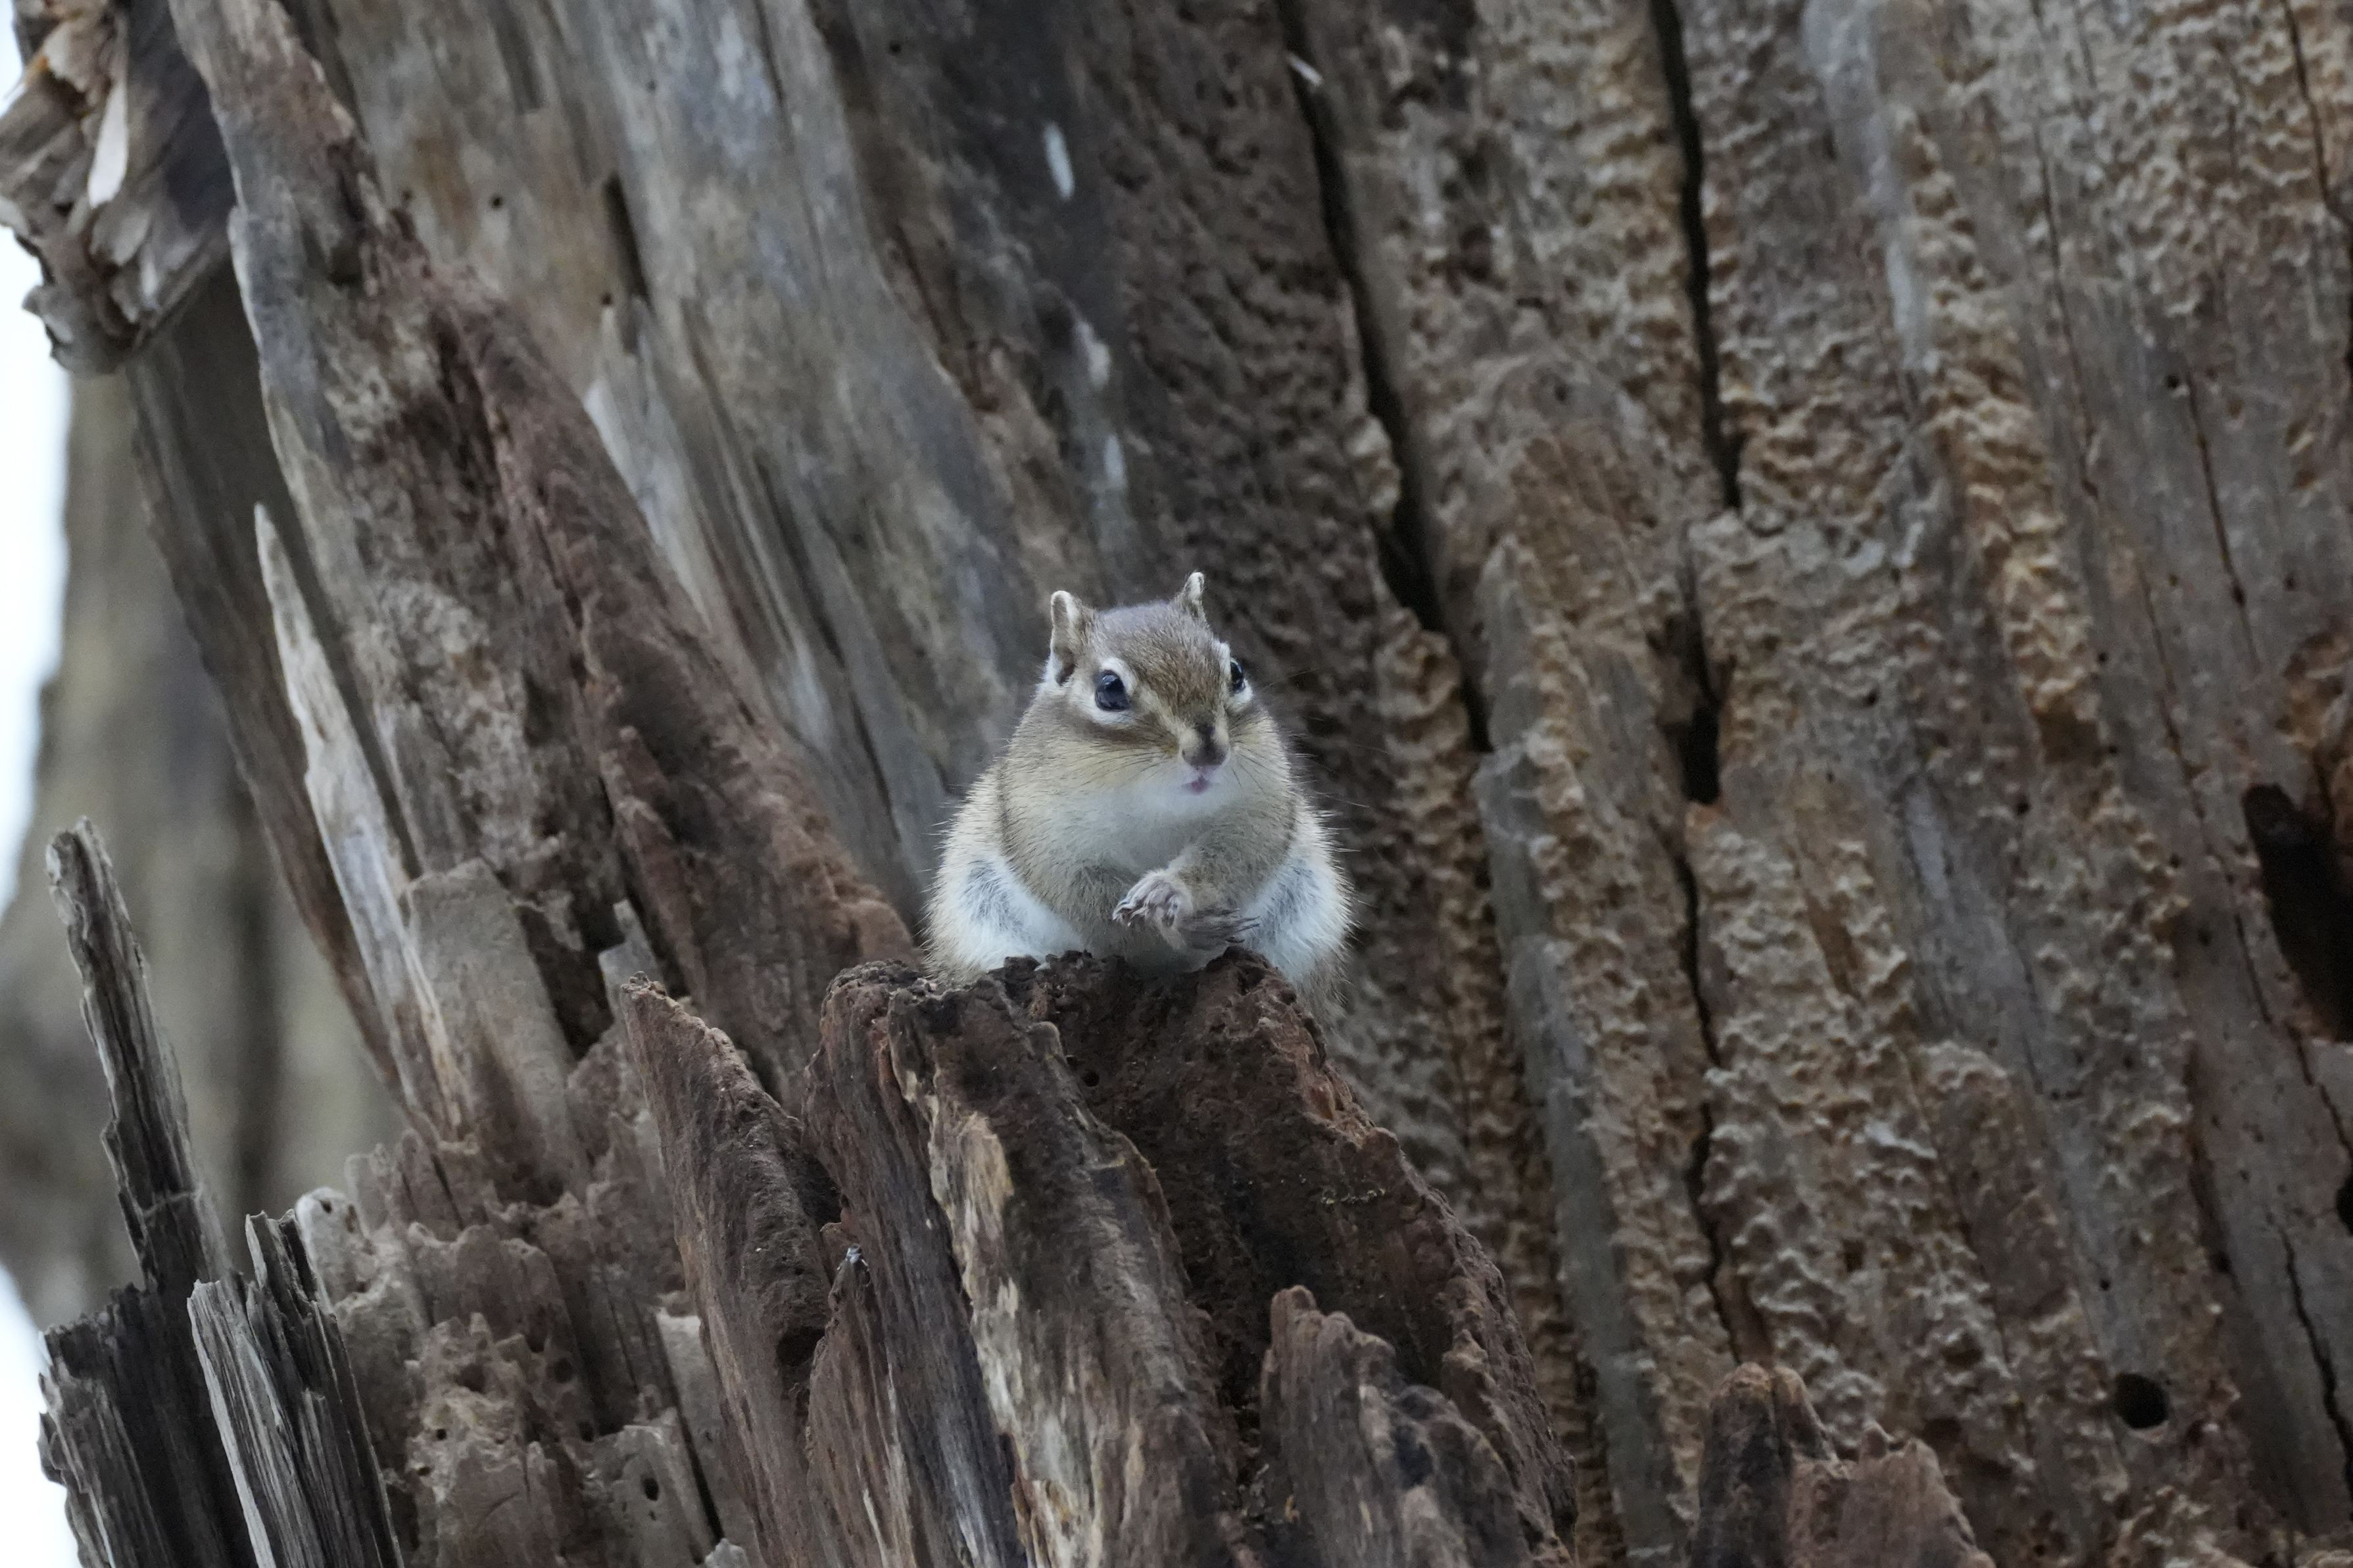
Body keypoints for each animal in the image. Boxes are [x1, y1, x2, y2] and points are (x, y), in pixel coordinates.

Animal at [925, 572, 1352, 1006]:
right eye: (1110, 690)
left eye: (1236, 672)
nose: (1209, 751)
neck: (1154, 803)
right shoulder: (1049, 839)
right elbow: (1095, 906)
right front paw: (1177, 930)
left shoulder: (1260, 807)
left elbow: (1237, 853)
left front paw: (1171, 890)